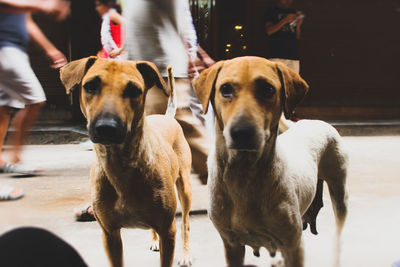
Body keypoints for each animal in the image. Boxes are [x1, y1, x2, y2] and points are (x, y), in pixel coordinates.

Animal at [58, 57, 193, 267]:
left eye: (134, 90)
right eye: (90, 86)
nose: (106, 127)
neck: (121, 164)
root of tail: (166, 117)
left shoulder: (168, 231)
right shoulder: (110, 234)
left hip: (185, 187)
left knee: (186, 222)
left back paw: (186, 254)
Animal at [192, 57, 348, 267]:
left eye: (268, 89)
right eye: (225, 89)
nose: (242, 132)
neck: (243, 174)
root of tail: (313, 120)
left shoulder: (294, 245)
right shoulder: (232, 245)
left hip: (340, 195)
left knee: (339, 232)